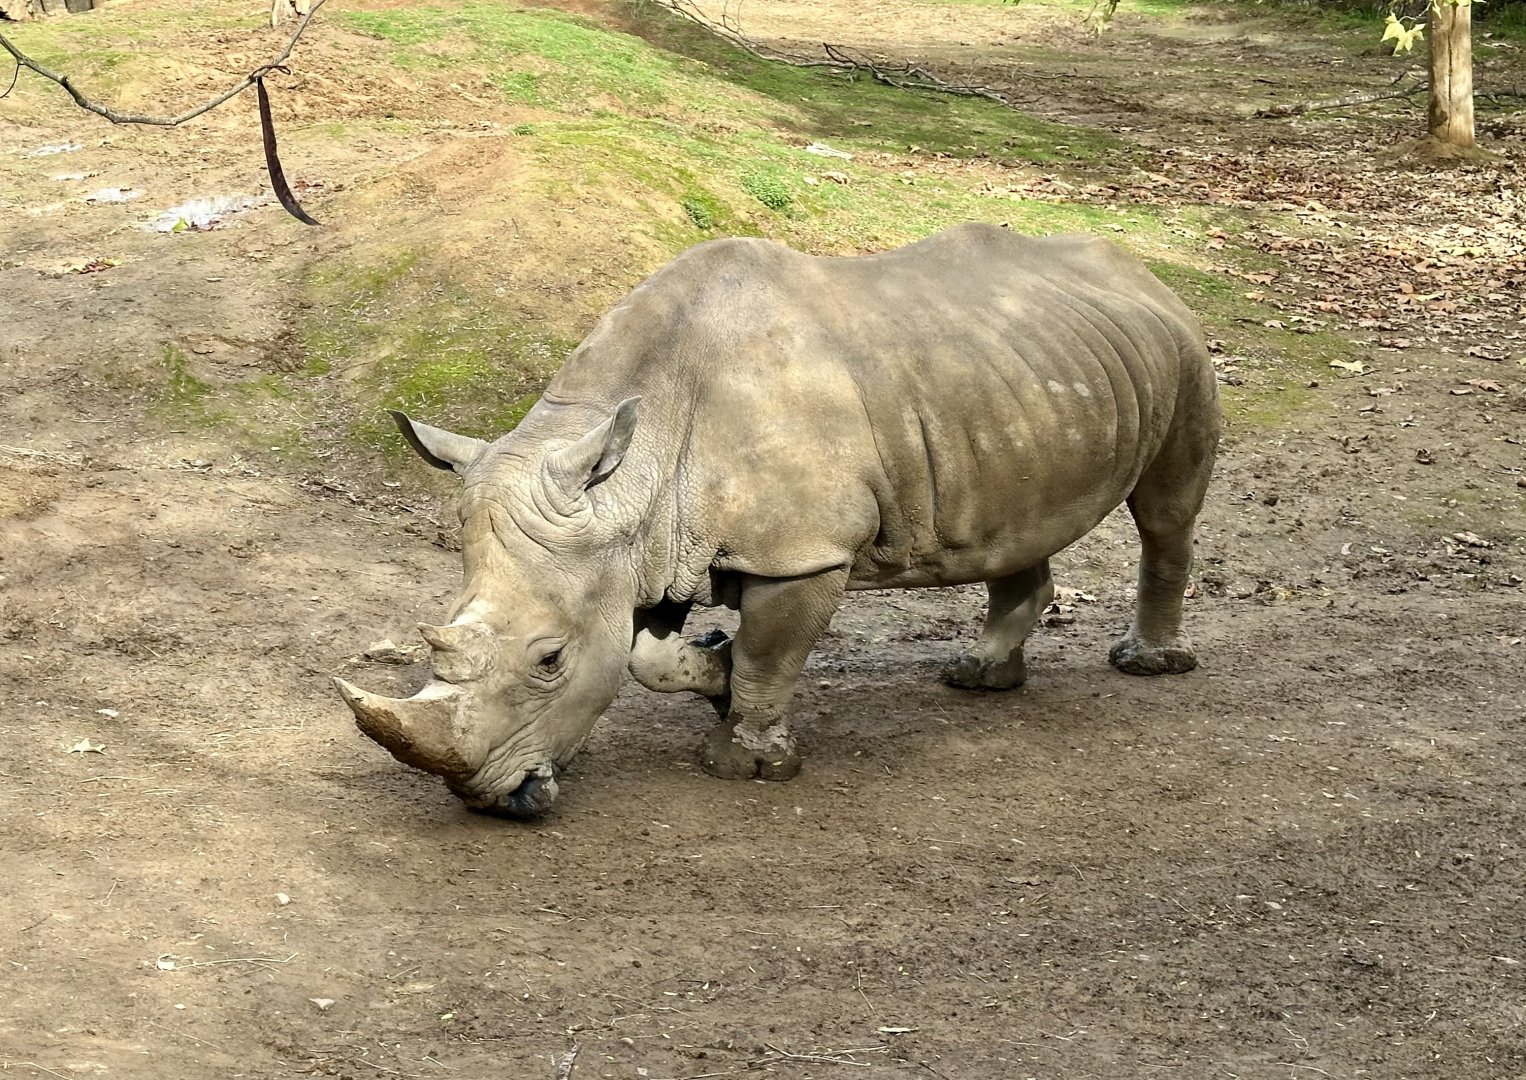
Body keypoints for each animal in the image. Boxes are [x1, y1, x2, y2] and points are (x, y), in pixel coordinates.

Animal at [335, 223, 1219, 818]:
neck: (633, 465)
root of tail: (1142, 268)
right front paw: (712, 668)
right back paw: (978, 677)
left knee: (1167, 509)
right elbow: (645, 655)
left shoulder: (804, 550)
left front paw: (747, 762)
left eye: (550, 660)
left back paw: (1148, 666)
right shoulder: (649, 538)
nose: (489, 799)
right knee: (1016, 520)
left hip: (1183, 348)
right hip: (1019, 376)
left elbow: (771, 650)